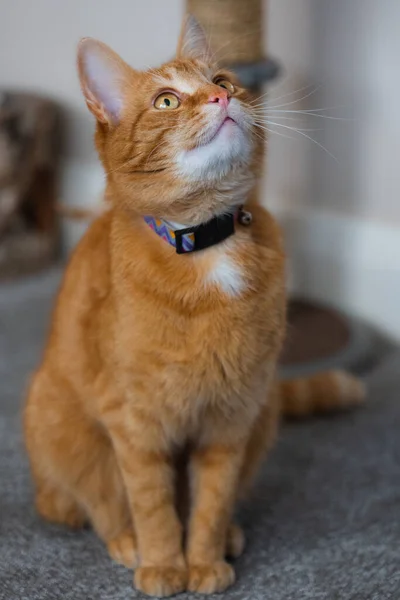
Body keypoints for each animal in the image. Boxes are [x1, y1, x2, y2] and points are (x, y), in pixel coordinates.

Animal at [22, 16, 366, 596]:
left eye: (223, 80)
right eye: (166, 100)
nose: (219, 97)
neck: (206, 244)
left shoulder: (229, 421)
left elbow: (210, 501)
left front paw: (203, 560)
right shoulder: (137, 426)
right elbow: (154, 505)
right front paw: (163, 564)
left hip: (263, 412)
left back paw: (227, 537)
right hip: (58, 422)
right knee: (78, 500)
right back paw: (124, 539)